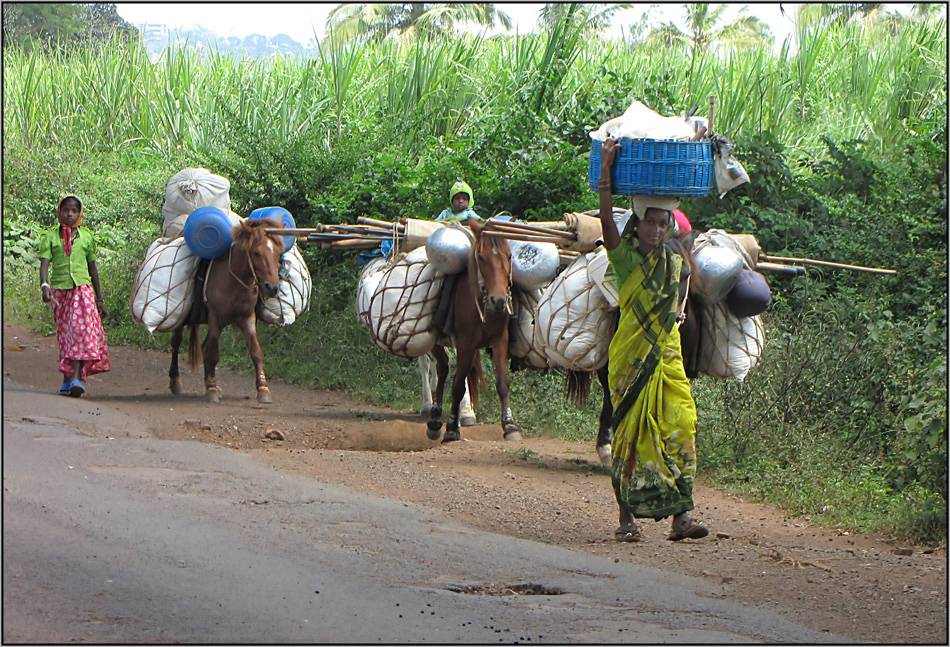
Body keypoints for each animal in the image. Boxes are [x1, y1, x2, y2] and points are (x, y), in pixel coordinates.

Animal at [169, 218, 286, 402]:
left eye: (278, 254)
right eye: (256, 253)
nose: (272, 287)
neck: (234, 281)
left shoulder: (248, 318)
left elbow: (256, 352)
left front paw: (263, 389)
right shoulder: (216, 319)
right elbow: (214, 354)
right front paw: (211, 390)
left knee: (204, 346)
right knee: (176, 343)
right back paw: (176, 383)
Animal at [428, 218, 524, 446]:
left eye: (509, 255)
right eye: (481, 257)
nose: (499, 300)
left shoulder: (500, 340)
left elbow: (502, 383)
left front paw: (510, 426)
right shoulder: (466, 344)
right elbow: (457, 386)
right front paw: (451, 429)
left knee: (444, 368)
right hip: (435, 340)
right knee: (442, 369)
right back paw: (436, 418)